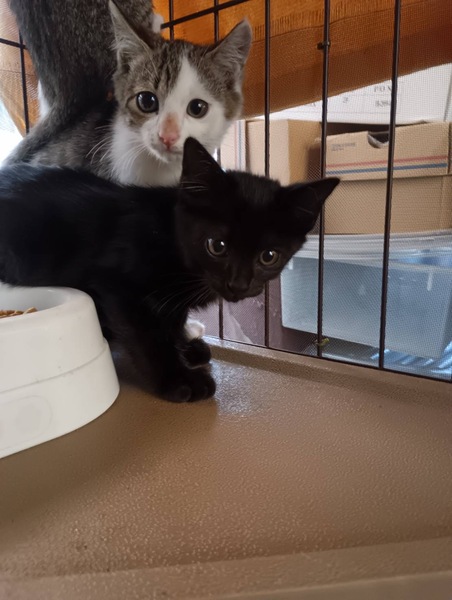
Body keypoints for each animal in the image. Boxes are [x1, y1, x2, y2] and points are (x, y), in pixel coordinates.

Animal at [0, 137, 339, 402]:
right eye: (217, 246)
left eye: (269, 256)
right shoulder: (118, 287)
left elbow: (172, 320)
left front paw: (186, 348)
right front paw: (178, 379)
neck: (172, 240)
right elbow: (149, 336)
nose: (239, 284)